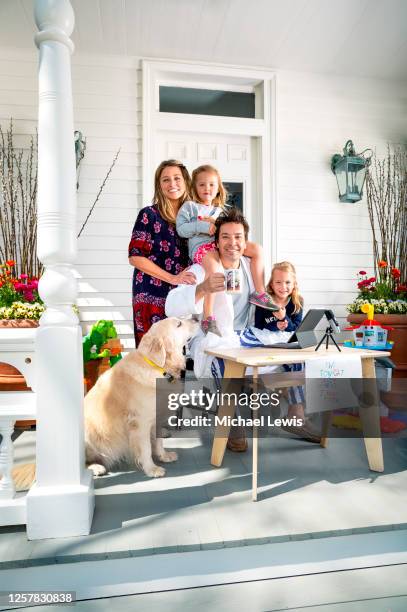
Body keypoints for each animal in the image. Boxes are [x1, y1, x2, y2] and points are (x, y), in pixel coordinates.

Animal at [84, 318, 198, 480]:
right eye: (178, 324)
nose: (197, 318)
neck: (158, 368)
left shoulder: (156, 418)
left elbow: (158, 441)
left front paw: (163, 456)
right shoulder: (140, 423)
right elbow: (146, 449)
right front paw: (152, 469)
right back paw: (96, 467)